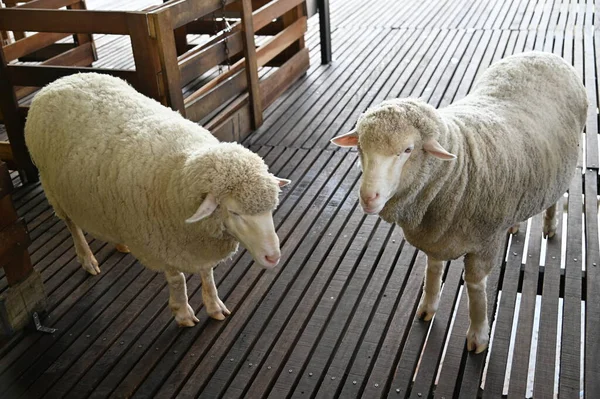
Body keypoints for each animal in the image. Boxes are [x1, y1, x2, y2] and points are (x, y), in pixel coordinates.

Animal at [24, 73, 292, 326]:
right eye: (235, 212)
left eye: (271, 209)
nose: (273, 257)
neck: (178, 173)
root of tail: (59, 80)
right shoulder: (161, 244)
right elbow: (177, 279)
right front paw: (182, 312)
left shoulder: (198, 244)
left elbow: (207, 273)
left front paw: (214, 305)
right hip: (53, 188)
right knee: (72, 225)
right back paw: (87, 259)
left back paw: (120, 244)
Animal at [330, 50, 588, 354]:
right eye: (360, 147)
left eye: (407, 150)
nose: (369, 198)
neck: (460, 162)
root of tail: (542, 53)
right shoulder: (436, 235)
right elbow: (432, 271)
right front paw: (427, 307)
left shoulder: (483, 243)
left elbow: (476, 289)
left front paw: (478, 335)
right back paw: (515, 225)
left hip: (562, 168)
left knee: (556, 197)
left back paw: (550, 225)